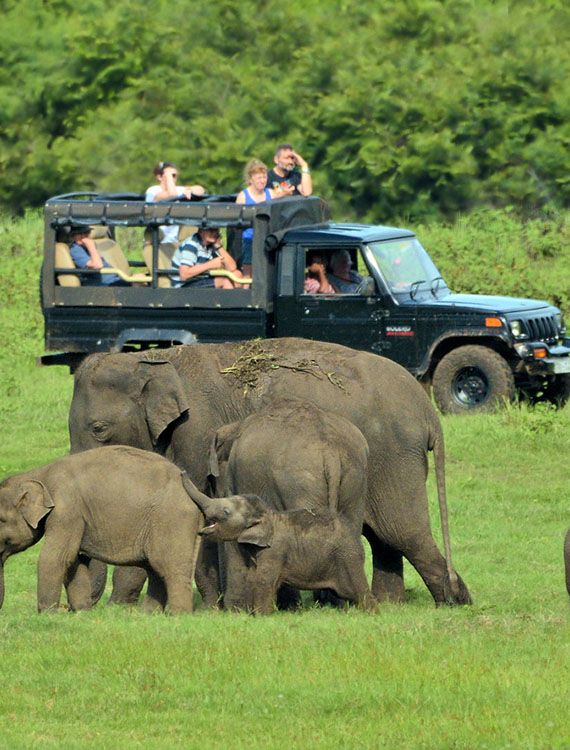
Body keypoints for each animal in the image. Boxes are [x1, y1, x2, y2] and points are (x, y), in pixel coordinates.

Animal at [0, 446, 202, 613]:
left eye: (1, 520)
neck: (40, 474)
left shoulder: (67, 511)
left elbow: (57, 557)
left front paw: (48, 614)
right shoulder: (77, 516)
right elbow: (75, 561)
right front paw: (82, 612)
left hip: (171, 520)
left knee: (170, 567)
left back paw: (178, 615)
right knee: (155, 569)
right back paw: (149, 615)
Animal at [182, 474, 376, 614]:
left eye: (226, 511)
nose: (183, 471)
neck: (267, 514)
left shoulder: (274, 550)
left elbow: (262, 579)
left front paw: (261, 617)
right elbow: (252, 578)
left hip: (347, 557)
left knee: (359, 592)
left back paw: (372, 613)